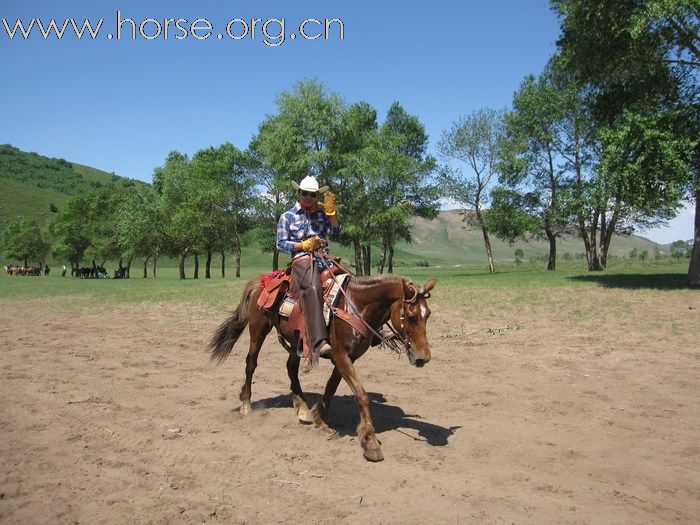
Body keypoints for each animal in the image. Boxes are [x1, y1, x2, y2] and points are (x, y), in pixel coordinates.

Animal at [208, 272, 438, 460]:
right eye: (411, 317)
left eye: (428, 315)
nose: (423, 358)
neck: (356, 306)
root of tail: (260, 281)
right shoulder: (341, 355)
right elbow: (361, 394)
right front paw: (370, 443)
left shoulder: (347, 357)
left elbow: (331, 387)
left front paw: (320, 418)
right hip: (258, 328)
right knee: (251, 363)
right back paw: (246, 404)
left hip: (297, 340)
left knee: (291, 367)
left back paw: (301, 407)